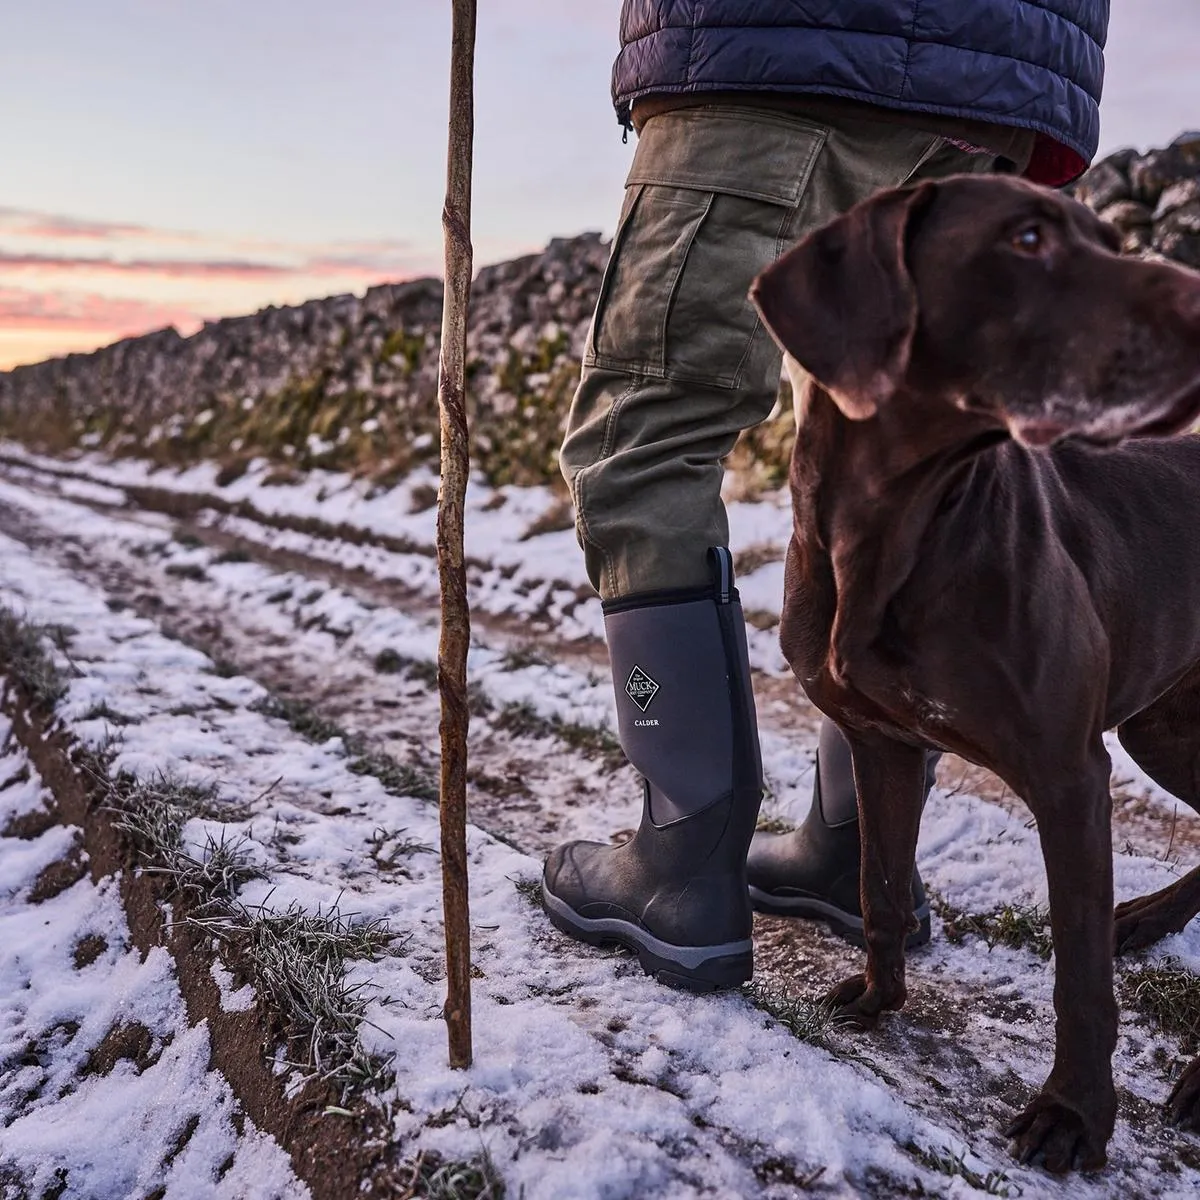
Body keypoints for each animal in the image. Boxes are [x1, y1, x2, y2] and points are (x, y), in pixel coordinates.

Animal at [753, 174, 1200, 1176]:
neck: (895, 525)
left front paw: (1074, 1116)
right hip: (1164, 722)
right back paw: (1148, 920)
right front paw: (878, 1000)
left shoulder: (1069, 777)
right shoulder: (879, 742)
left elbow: (1078, 976)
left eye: (1110, 239)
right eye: (1027, 237)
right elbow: (879, 883)